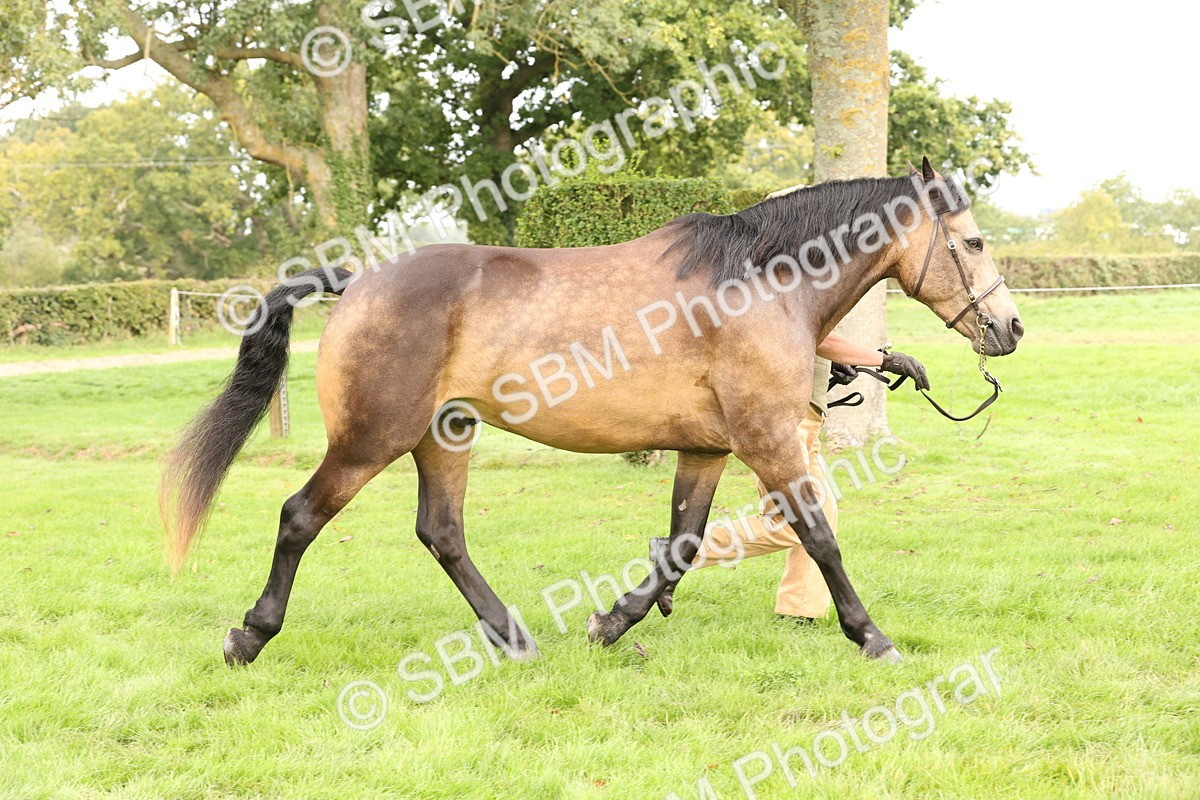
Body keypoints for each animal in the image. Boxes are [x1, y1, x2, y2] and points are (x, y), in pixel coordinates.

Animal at [161, 158, 1023, 667]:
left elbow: (683, 544)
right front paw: (873, 637)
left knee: (442, 533)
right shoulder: (769, 440)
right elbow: (819, 536)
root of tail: (360, 280)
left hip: (445, 435)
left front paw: (613, 622)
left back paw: (513, 638)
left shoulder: (707, 449)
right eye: (975, 242)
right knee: (300, 516)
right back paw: (248, 635)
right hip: (370, 439)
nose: (1009, 327)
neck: (759, 282)